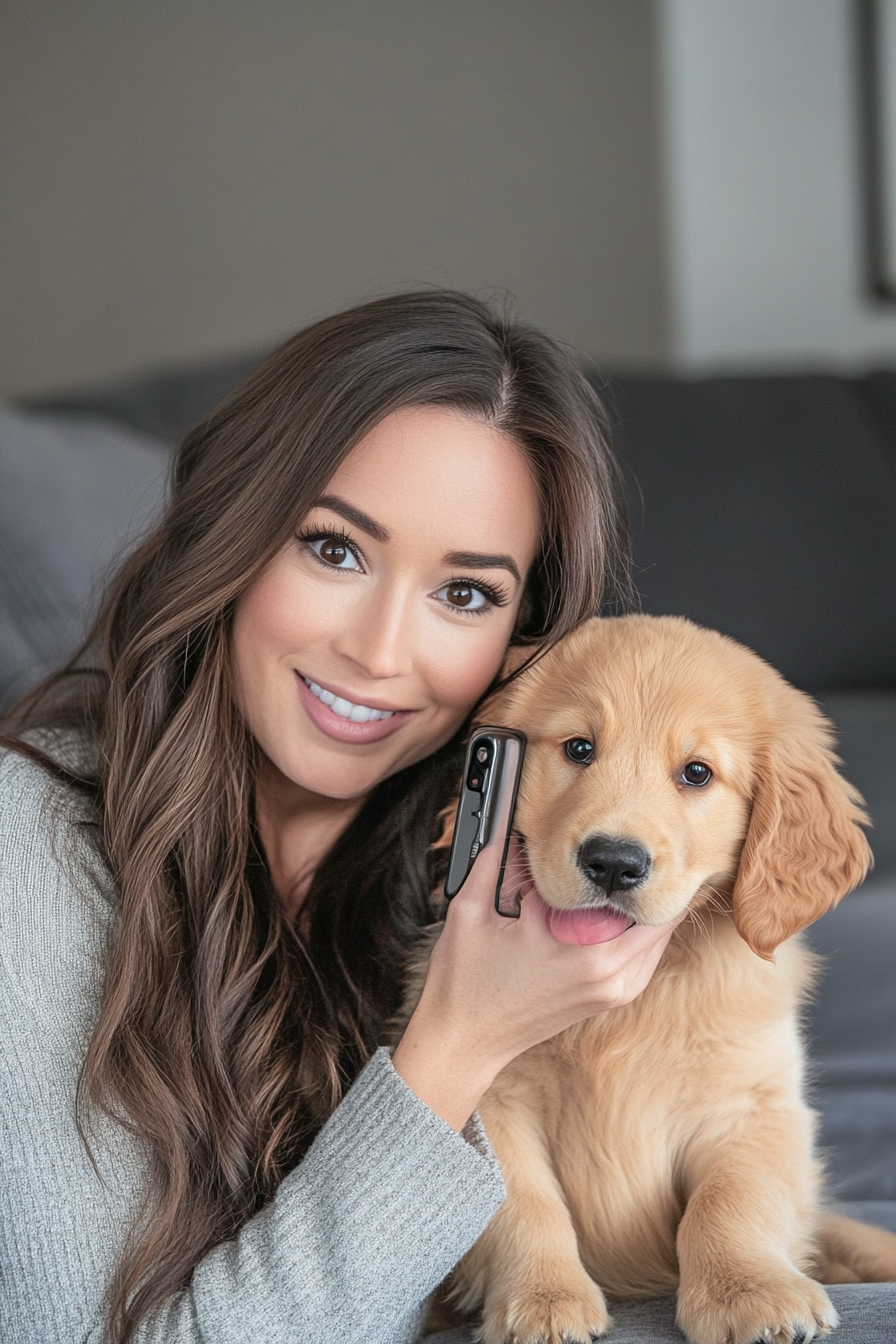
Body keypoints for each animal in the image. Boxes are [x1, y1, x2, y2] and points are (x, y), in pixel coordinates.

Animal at [416, 615, 896, 1344]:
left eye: (697, 773)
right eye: (579, 748)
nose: (614, 863)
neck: (630, 1004)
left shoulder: (753, 1105)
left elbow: (729, 1200)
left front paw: (749, 1292)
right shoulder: (493, 1100)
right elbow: (526, 1202)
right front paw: (543, 1301)